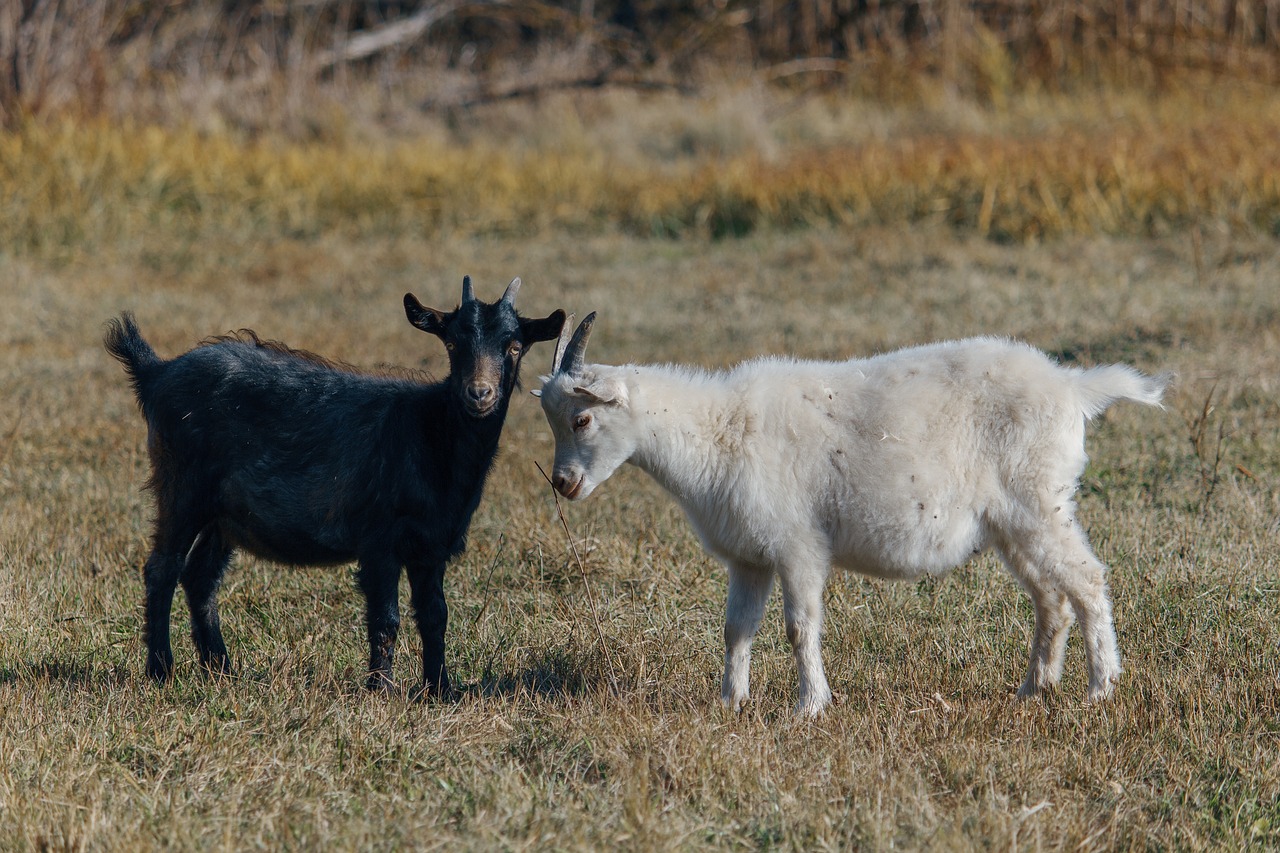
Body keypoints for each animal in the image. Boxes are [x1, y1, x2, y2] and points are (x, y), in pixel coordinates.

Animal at [107, 275, 568, 696]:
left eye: (514, 346)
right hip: (181, 486)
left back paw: (221, 669)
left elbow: (435, 614)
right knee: (162, 568)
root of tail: (157, 372)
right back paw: (160, 671)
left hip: (224, 515)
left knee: (200, 576)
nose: (479, 393)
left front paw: (440, 689)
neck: (430, 431)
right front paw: (381, 689)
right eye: (453, 344)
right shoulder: (379, 538)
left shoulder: (431, 546)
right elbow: (386, 617)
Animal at [535, 315, 1172, 712]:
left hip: (1041, 505)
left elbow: (799, 627)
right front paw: (730, 702)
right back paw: (1033, 690)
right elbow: (736, 630)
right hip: (1014, 525)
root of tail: (1073, 386)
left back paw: (1099, 690)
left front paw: (809, 706)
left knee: (1087, 581)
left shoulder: (798, 546)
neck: (718, 432)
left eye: (583, 419)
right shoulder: (749, 556)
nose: (563, 484)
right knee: (1051, 599)